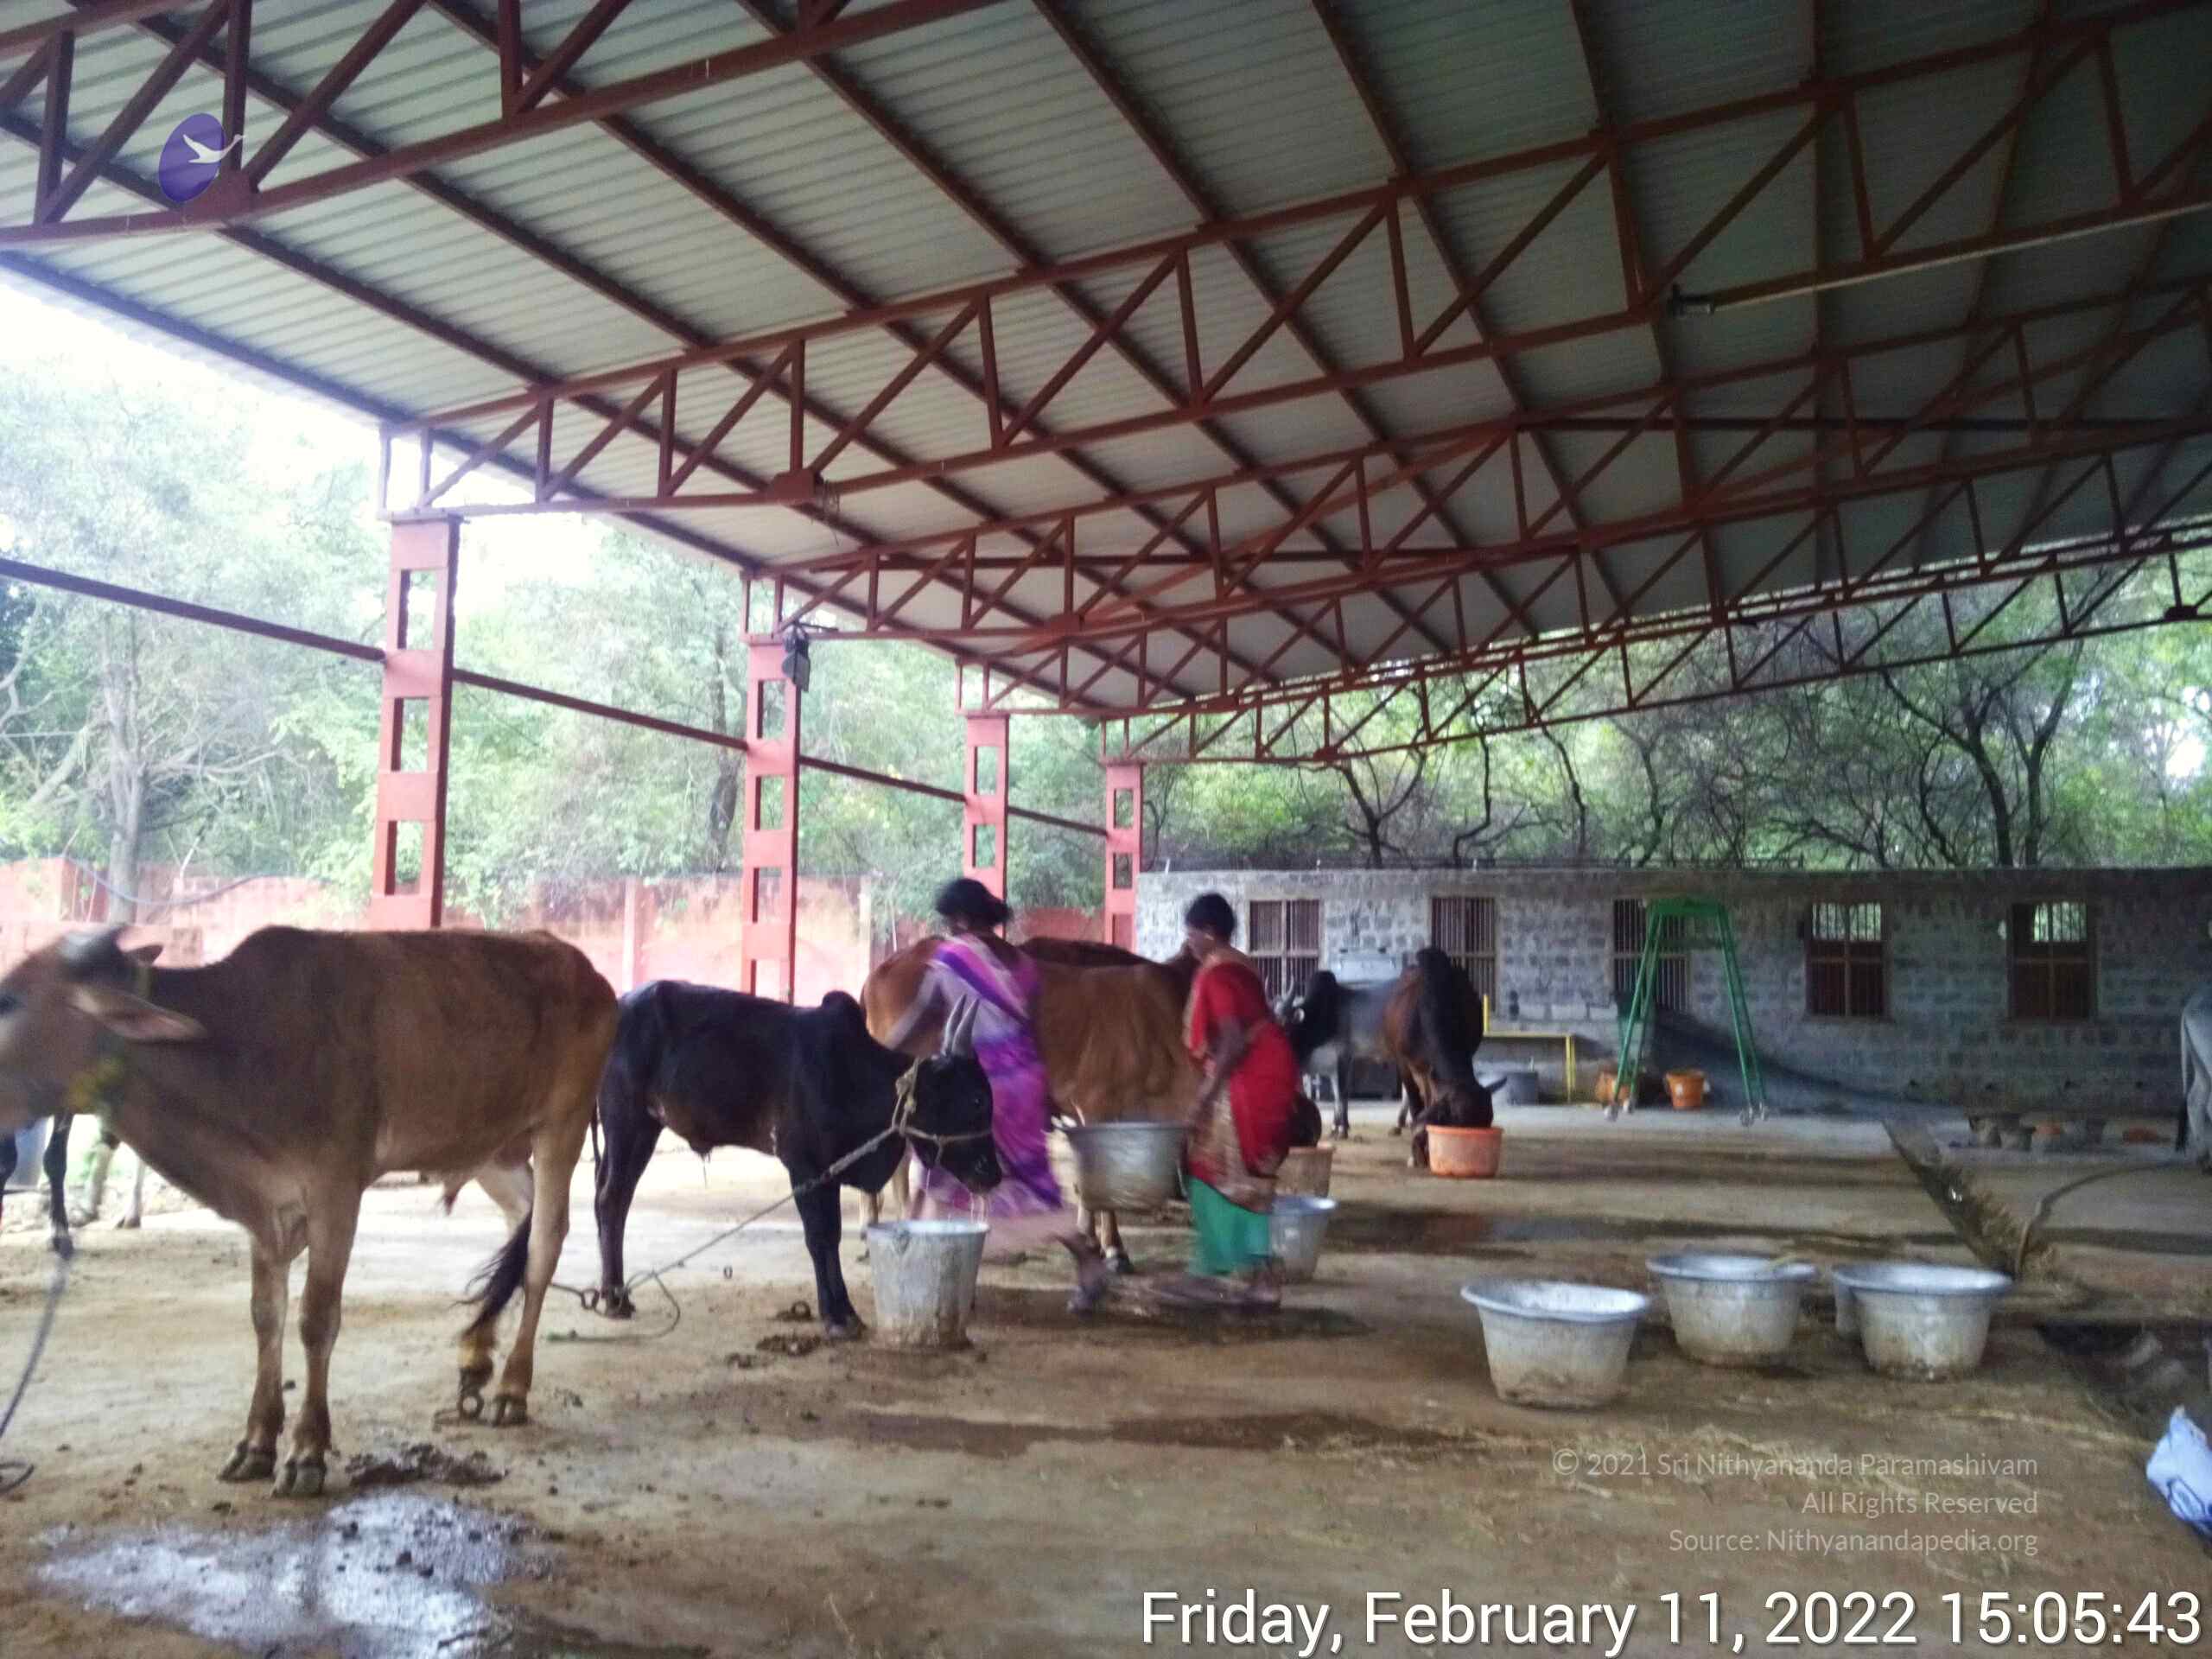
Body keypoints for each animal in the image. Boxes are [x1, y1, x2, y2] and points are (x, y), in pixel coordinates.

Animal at [0, 925, 617, 1497]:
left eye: (9, 1000)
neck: (241, 1046)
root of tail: (585, 967)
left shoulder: (336, 1190)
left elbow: (316, 1319)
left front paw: (306, 1452)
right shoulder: (266, 1209)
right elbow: (265, 1314)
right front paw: (255, 1442)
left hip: (562, 1125)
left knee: (544, 1246)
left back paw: (512, 1387)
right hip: (491, 1148)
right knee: (521, 1221)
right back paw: (477, 1354)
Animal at [591, 985, 999, 1340]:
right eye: (978, 1100)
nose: (993, 1172)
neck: (855, 1075)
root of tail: (619, 1004)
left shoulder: (829, 1172)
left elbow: (831, 1236)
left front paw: (845, 1313)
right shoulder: (804, 1167)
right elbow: (820, 1237)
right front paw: (837, 1317)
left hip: (643, 1129)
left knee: (613, 1199)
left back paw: (616, 1292)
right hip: (626, 1121)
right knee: (611, 1199)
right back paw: (614, 1299)